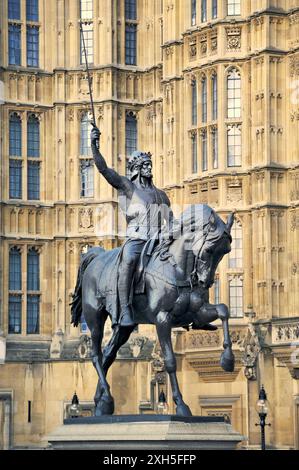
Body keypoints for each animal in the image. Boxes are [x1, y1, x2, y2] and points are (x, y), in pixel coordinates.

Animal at [71, 204, 237, 416]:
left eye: (226, 251)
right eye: (209, 250)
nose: (205, 282)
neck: (177, 267)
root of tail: (95, 256)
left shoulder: (197, 311)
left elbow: (224, 310)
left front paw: (227, 360)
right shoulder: (162, 318)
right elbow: (170, 360)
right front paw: (181, 405)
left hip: (124, 327)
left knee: (108, 354)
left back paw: (99, 403)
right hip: (95, 317)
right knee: (96, 355)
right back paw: (106, 399)